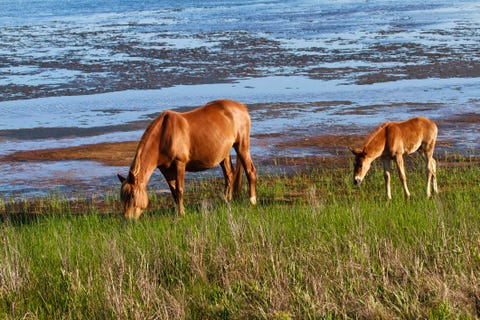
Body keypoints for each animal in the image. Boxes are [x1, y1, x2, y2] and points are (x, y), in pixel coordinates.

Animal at [118, 99, 256, 220]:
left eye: (132, 195)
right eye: (122, 197)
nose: (128, 219)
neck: (163, 136)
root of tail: (242, 107)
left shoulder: (180, 164)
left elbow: (179, 190)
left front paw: (181, 214)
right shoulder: (166, 170)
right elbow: (173, 192)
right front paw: (177, 213)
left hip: (242, 146)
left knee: (250, 171)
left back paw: (252, 201)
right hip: (224, 154)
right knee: (229, 175)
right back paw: (227, 201)